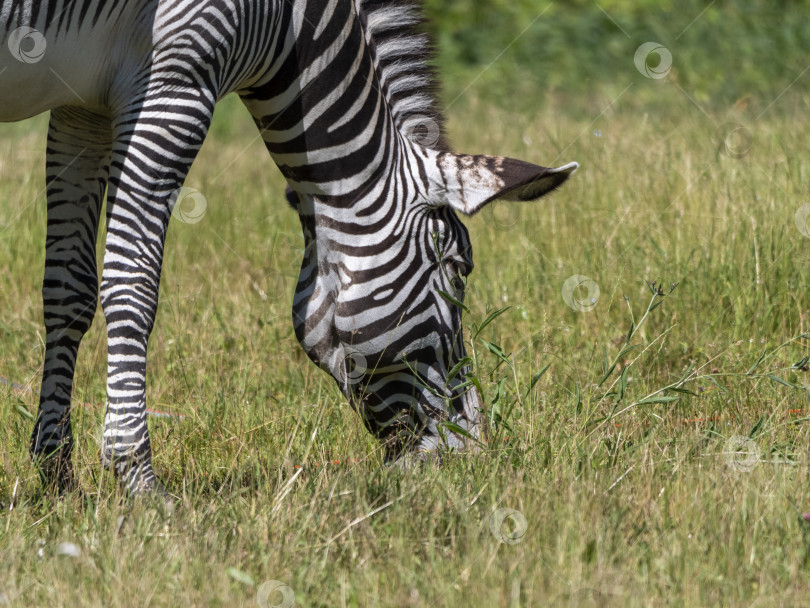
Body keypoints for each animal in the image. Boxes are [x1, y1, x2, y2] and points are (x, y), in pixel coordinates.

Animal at [3, 0, 576, 494]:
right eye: (459, 271)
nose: (473, 453)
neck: (292, 22)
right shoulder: (177, 81)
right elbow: (132, 285)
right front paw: (138, 478)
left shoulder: (83, 105)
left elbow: (70, 292)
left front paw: (57, 476)